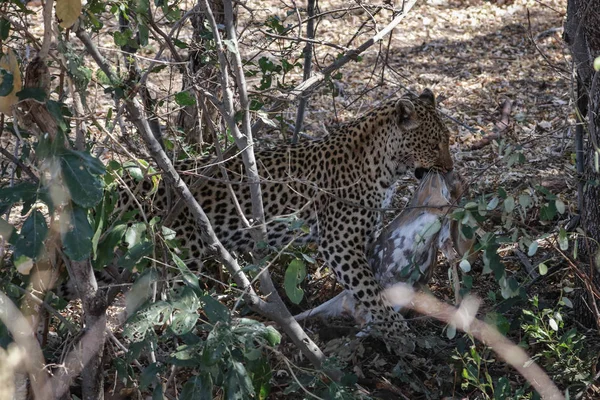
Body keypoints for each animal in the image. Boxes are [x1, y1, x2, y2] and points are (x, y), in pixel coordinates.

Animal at [115, 88, 452, 338]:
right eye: (436, 144)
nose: (449, 169)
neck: (385, 165)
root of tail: (130, 183)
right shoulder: (340, 244)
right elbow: (370, 289)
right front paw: (397, 332)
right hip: (181, 254)